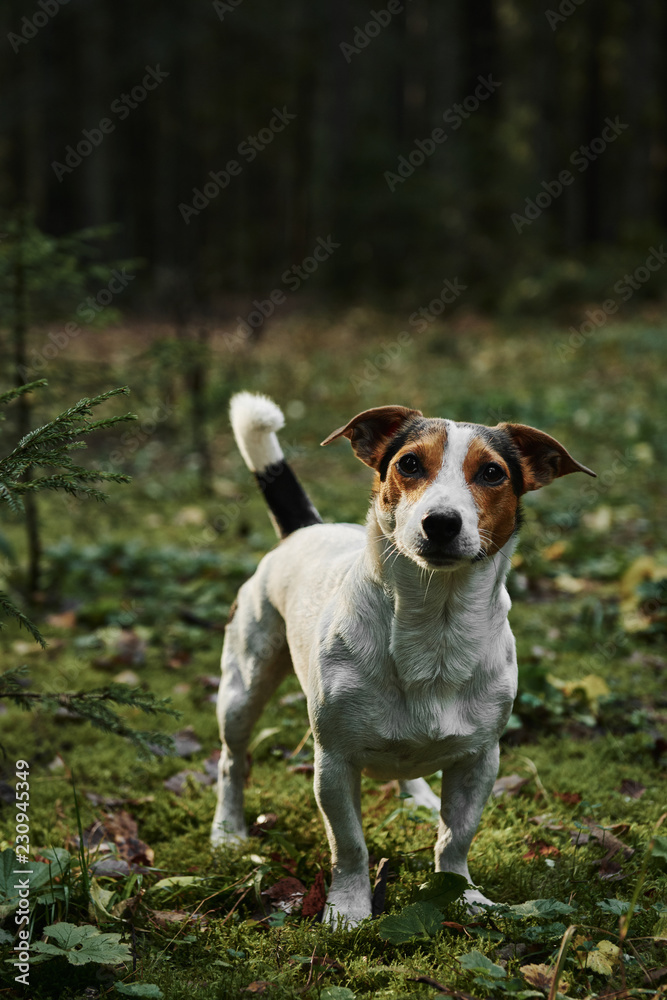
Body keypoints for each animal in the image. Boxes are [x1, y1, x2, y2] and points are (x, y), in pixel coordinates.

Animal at [210, 394, 596, 924]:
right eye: (409, 464)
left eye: (492, 473)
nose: (442, 522)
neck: (435, 623)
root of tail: (306, 530)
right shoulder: (334, 762)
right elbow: (349, 845)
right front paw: (349, 910)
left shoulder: (481, 760)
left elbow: (456, 838)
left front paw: (462, 895)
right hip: (244, 686)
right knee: (232, 760)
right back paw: (227, 831)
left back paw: (417, 797)